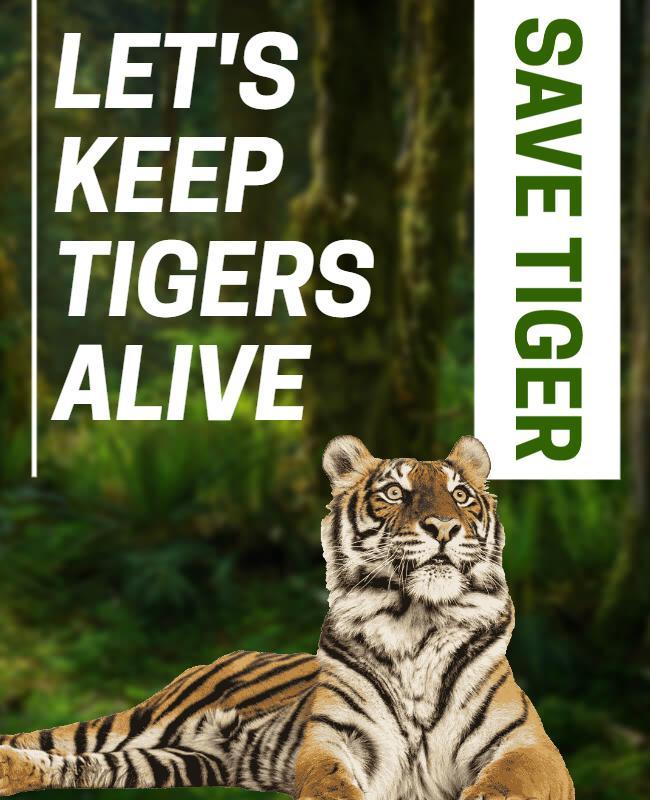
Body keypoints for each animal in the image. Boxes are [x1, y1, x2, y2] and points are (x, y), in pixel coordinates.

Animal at [0, 435, 574, 800]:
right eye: (394, 492)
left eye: (461, 496)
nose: (444, 528)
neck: (417, 622)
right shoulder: (335, 739)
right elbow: (331, 784)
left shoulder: (530, 748)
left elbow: (503, 785)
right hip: (148, 720)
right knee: (57, 742)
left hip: (173, 760)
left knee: (83, 768)